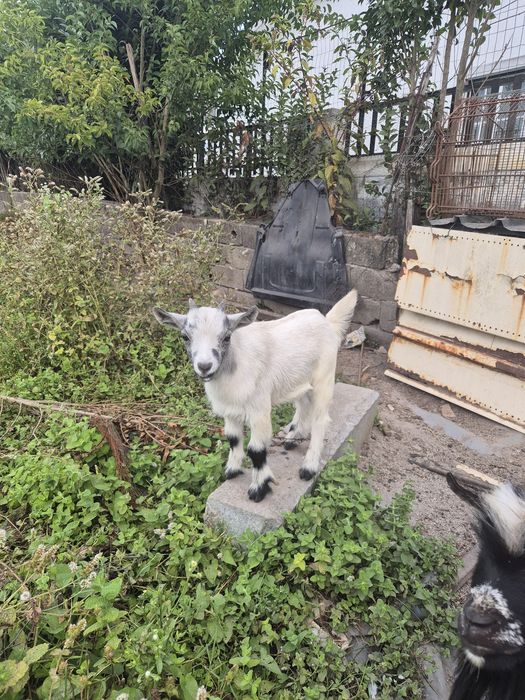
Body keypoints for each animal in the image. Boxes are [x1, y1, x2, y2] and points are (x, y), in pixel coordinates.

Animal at [153, 290, 358, 502]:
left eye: (227, 337)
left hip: (324, 378)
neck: (235, 362)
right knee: (303, 404)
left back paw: (308, 467)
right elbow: (233, 439)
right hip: (299, 380)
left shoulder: (259, 410)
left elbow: (256, 450)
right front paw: (232, 471)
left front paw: (259, 488)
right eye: (185, 336)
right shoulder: (230, 410)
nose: (204, 366)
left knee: (320, 419)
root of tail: (327, 322)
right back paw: (293, 437)